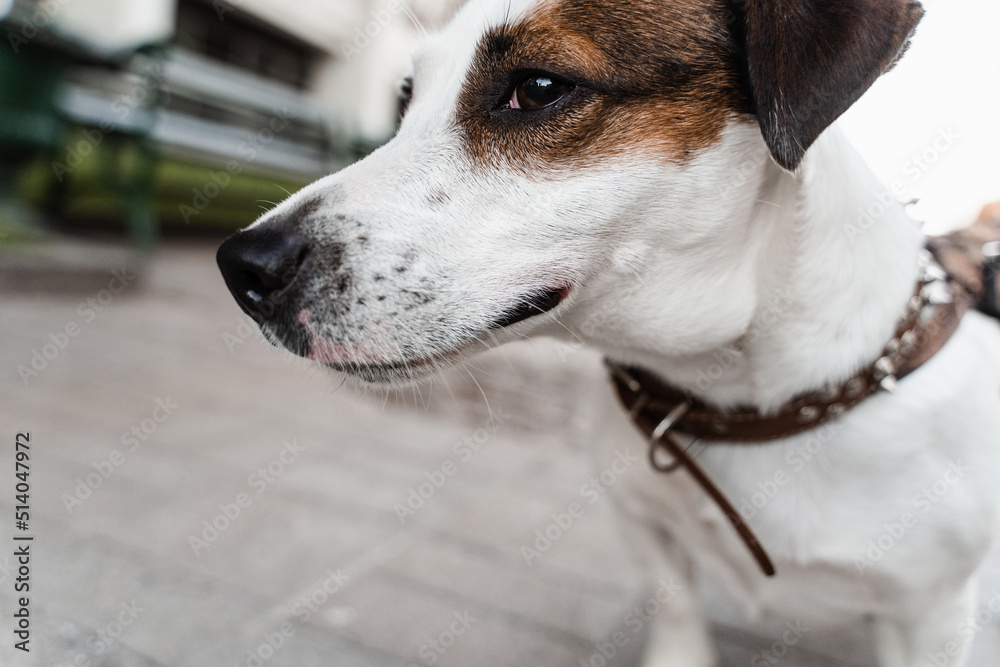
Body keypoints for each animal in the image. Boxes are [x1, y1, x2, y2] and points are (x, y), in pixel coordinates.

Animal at [217, 2, 1000, 664]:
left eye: (538, 88)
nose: (243, 267)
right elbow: (678, 608)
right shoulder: (644, 521)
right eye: (406, 98)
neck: (736, 393)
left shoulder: (929, 611)